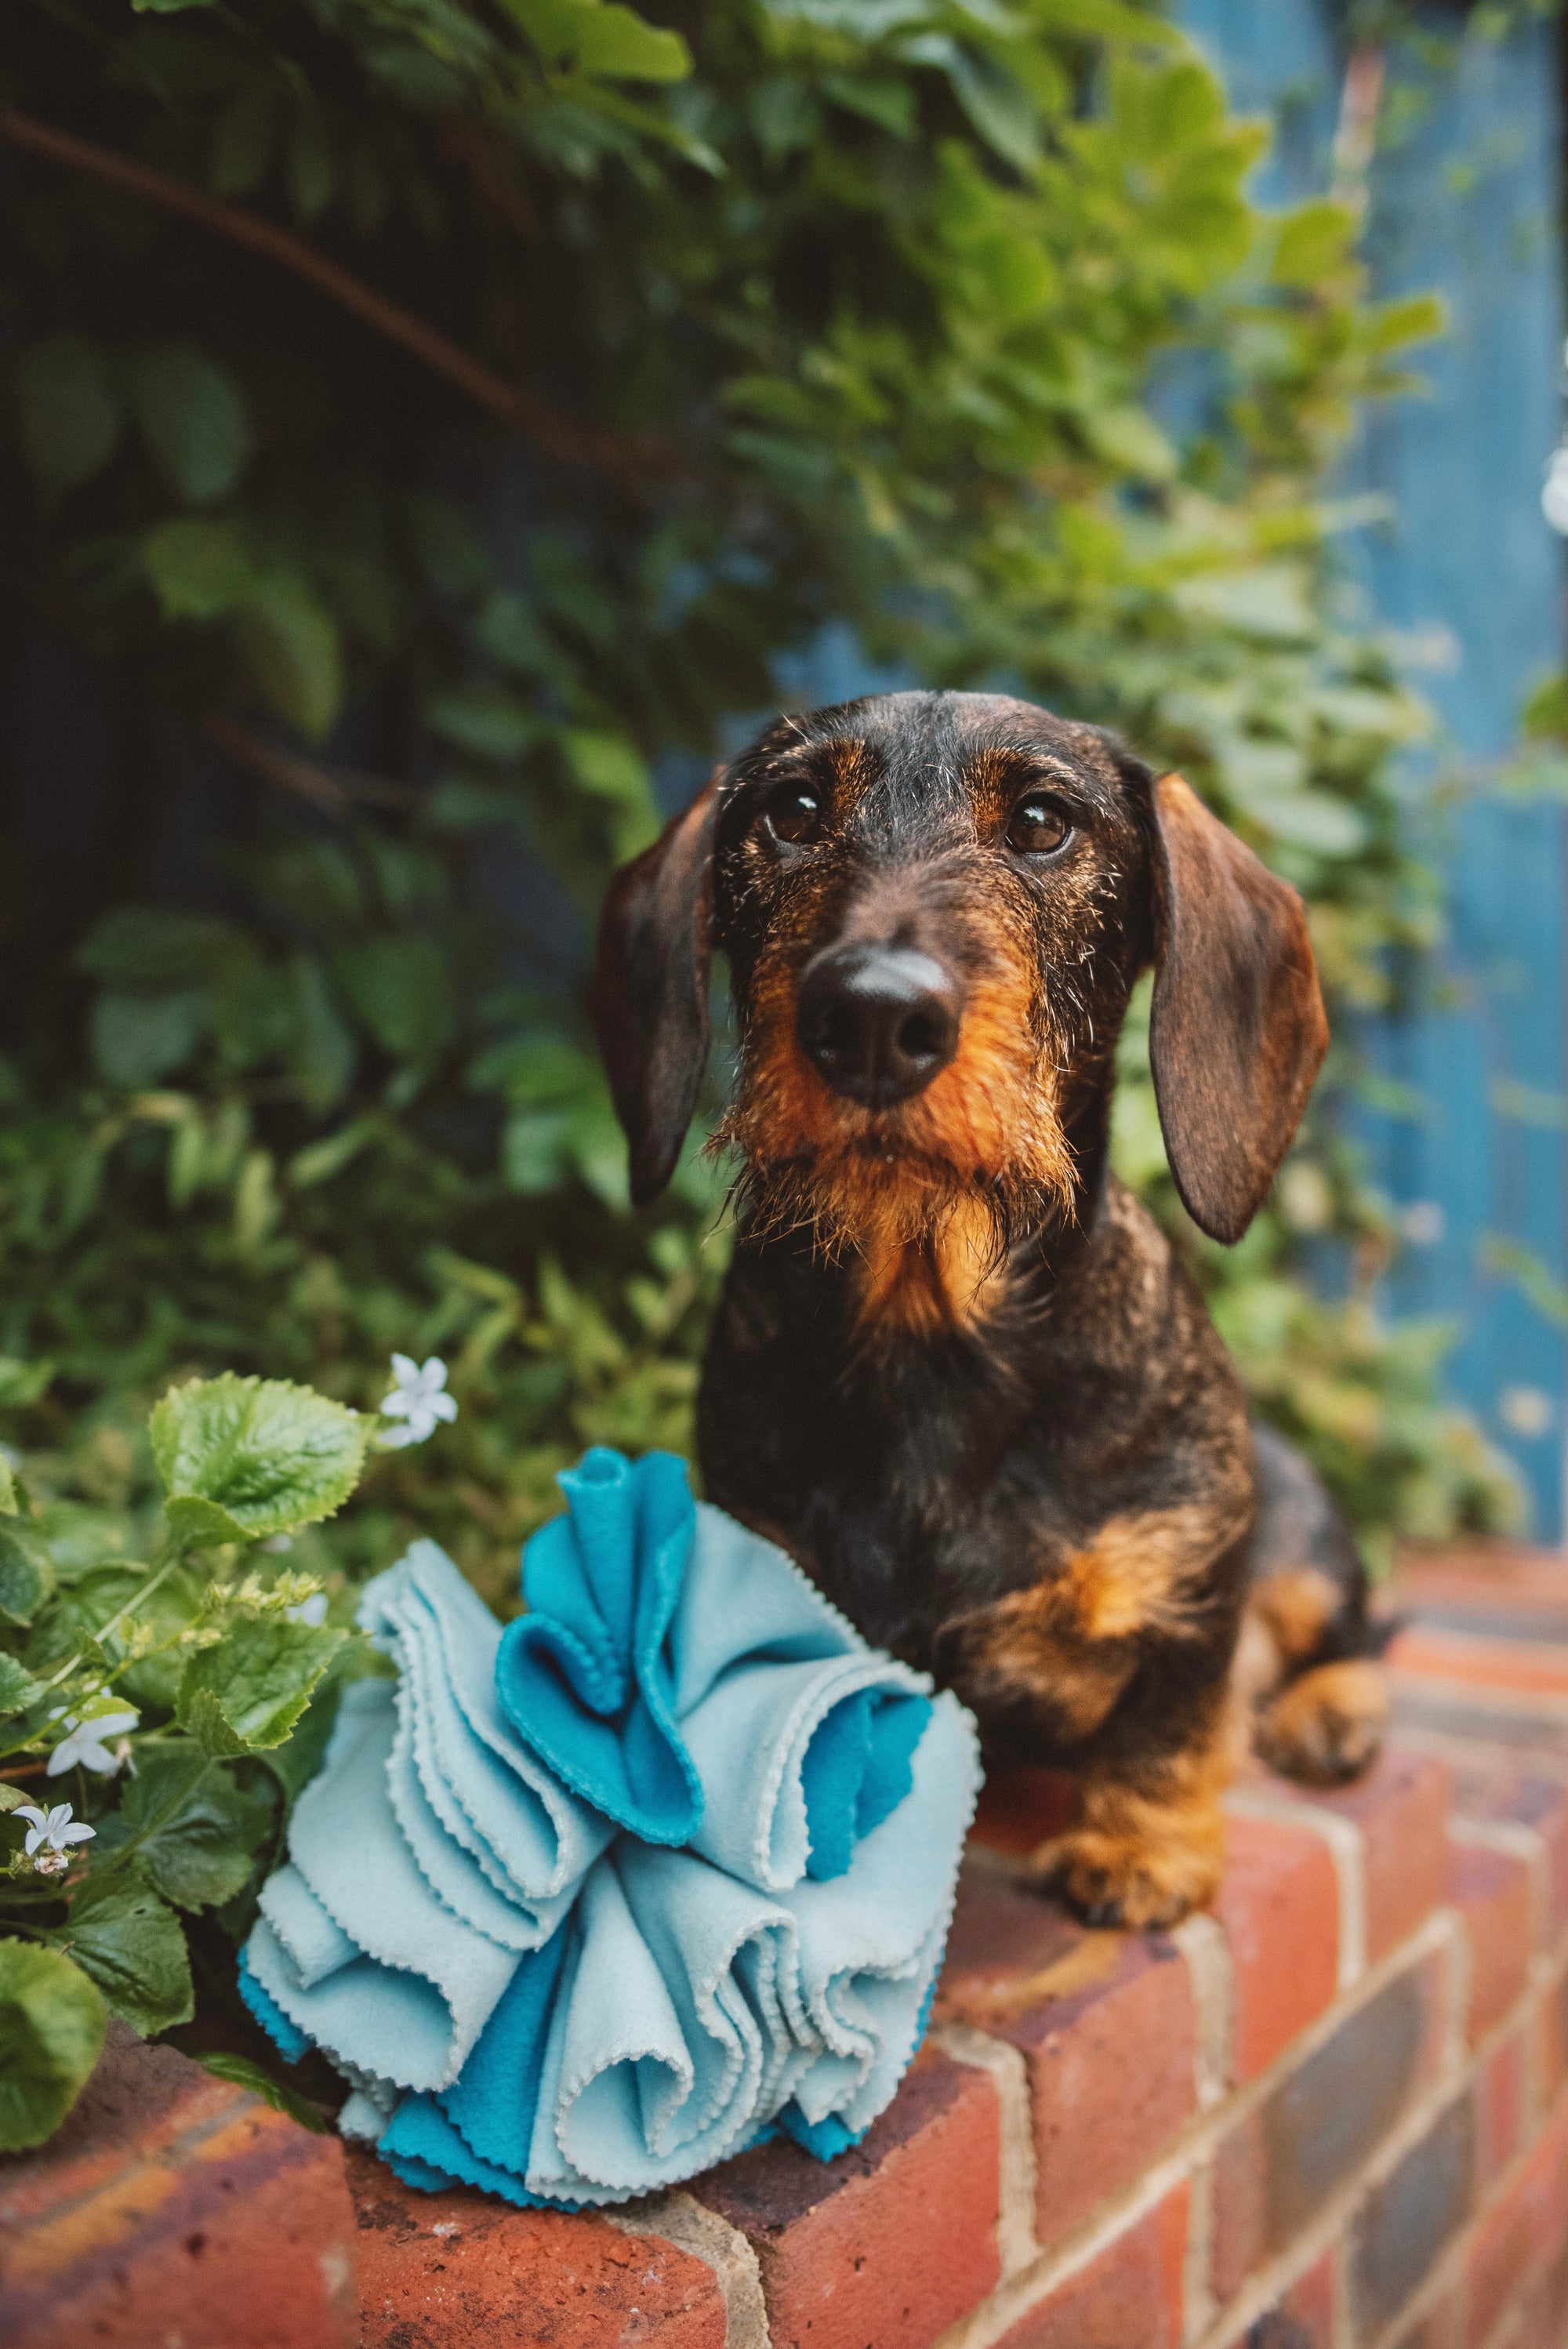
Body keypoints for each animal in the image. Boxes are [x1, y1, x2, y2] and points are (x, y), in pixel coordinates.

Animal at [586, 690, 1380, 1926]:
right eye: (792, 812)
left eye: (1045, 823)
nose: (870, 1018)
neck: (934, 1332)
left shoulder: (1194, 1583)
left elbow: (1172, 1718)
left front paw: (1140, 1851)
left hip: (1301, 1542)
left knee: (1354, 1631)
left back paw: (1328, 1709)